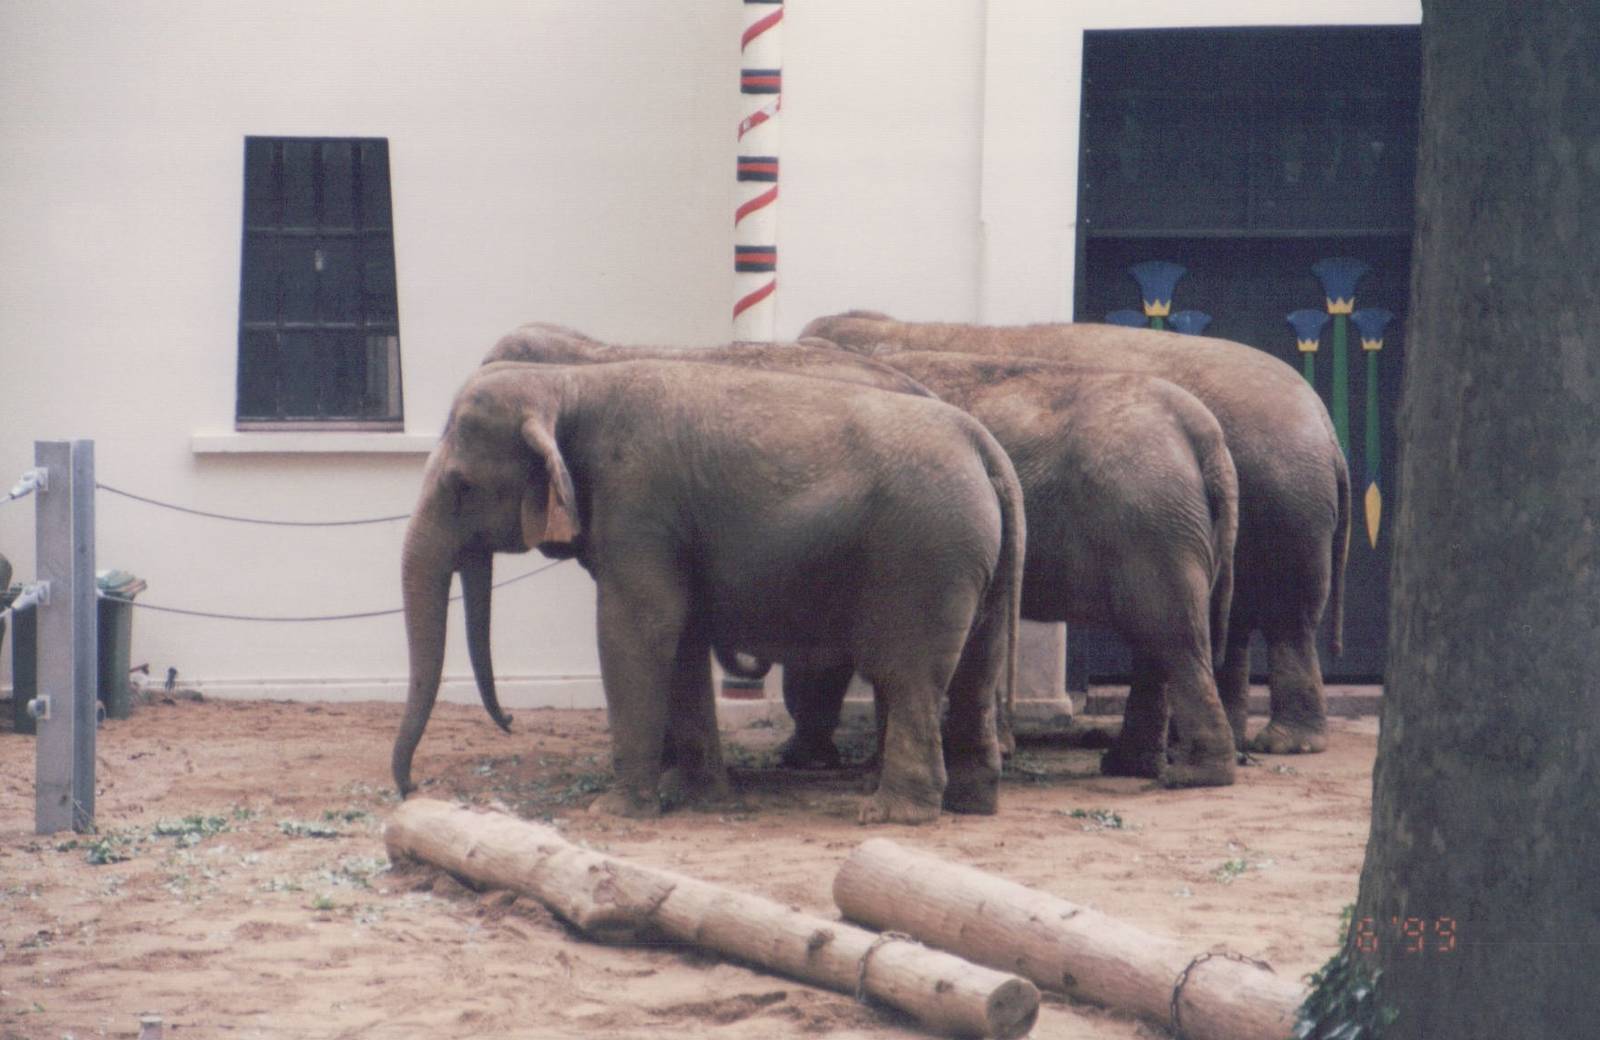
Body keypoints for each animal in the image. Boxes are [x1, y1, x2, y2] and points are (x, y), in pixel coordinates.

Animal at [394, 358, 1025, 824]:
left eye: (461, 485)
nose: (410, 789)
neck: (568, 382)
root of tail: (984, 443)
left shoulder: (639, 506)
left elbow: (636, 630)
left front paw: (614, 813)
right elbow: (683, 639)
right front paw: (695, 795)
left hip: (925, 555)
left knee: (909, 675)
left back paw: (891, 814)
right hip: (975, 557)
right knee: (975, 671)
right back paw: (971, 804)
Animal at [782, 351, 1241, 787]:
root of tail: (1203, 432)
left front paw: (813, 760)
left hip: (1151, 524)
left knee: (1169, 635)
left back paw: (1189, 776)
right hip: (1166, 527)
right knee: (1160, 639)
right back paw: (1133, 767)